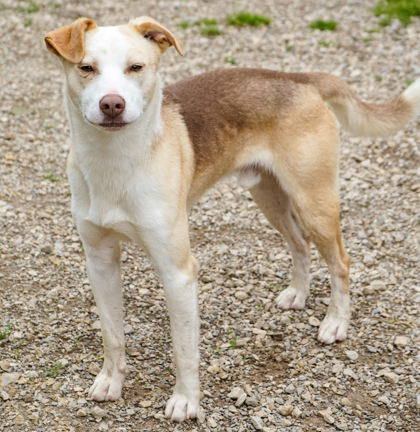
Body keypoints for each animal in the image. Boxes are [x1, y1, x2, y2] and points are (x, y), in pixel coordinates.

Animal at [44, 16, 420, 422]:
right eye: (86, 68)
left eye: (136, 67)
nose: (112, 104)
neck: (114, 160)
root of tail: (298, 77)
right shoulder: (100, 262)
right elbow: (112, 334)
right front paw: (111, 382)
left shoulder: (178, 272)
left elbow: (184, 349)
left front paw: (186, 401)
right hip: (269, 197)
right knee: (299, 243)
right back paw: (298, 295)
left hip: (314, 202)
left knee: (341, 262)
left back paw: (335, 323)